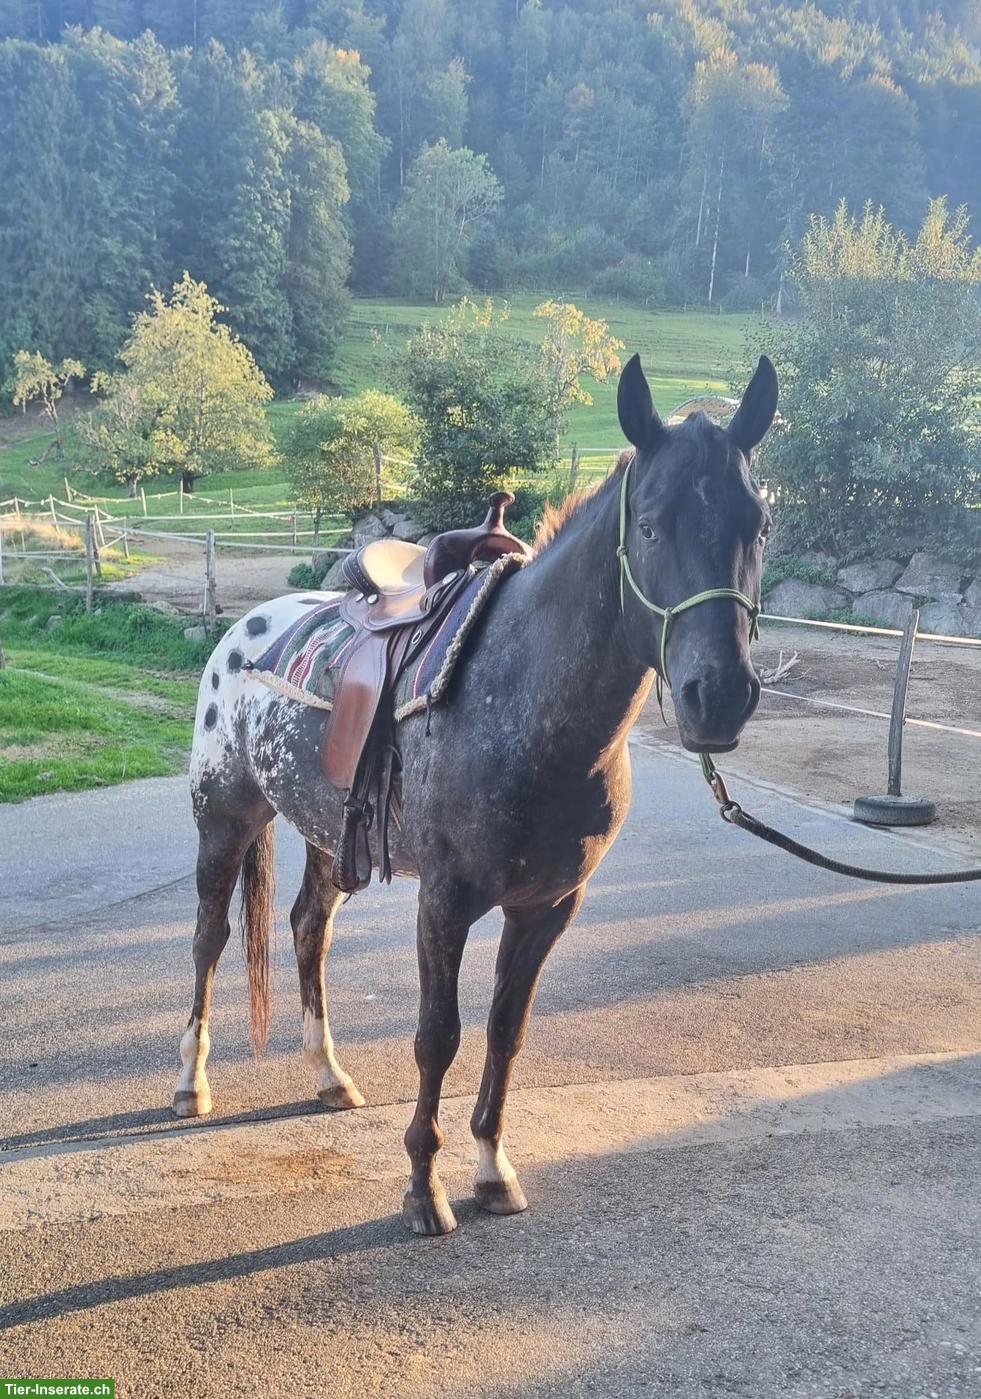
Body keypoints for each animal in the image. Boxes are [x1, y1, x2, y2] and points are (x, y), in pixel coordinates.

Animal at [174, 352, 778, 1236]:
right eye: (650, 523)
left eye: (757, 525)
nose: (720, 696)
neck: (527, 705)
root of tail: (243, 629)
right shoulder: (445, 901)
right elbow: (439, 1036)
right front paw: (422, 1188)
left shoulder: (548, 907)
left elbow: (504, 1031)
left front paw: (491, 1167)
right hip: (223, 820)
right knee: (210, 939)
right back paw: (190, 1082)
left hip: (329, 838)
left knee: (307, 930)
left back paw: (327, 1074)